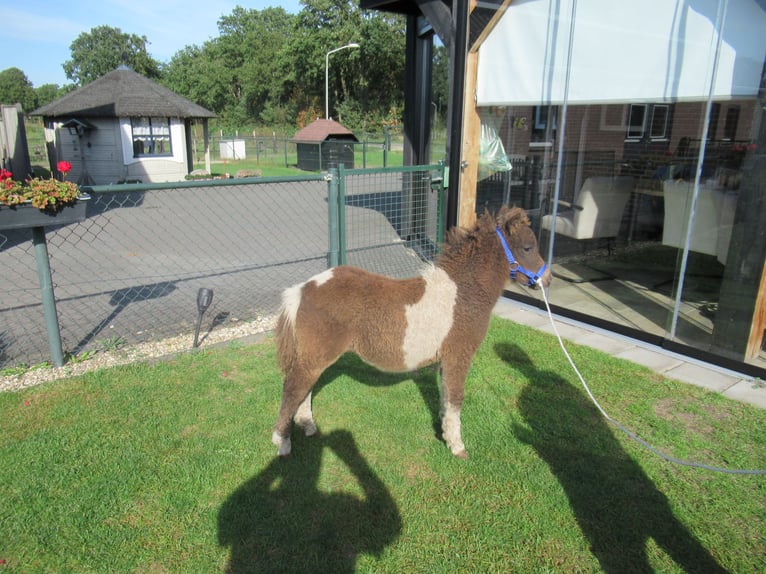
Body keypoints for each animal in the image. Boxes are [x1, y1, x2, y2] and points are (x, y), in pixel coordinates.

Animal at [272, 205, 551, 458]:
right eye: (528, 247)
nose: (547, 279)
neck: (463, 293)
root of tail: (304, 288)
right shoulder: (459, 356)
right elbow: (456, 398)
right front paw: (457, 446)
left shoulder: (445, 360)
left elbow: (445, 397)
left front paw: (444, 433)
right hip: (316, 356)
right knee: (293, 389)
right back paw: (282, 443)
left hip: (313, 357)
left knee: (304, 389)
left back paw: (308, 426)